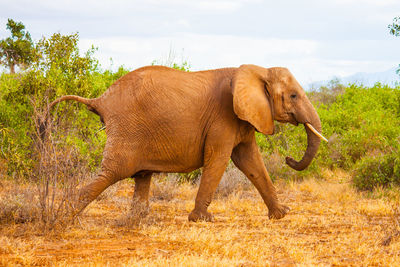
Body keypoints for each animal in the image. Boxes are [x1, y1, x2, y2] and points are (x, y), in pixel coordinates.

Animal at [45, 64, 326, 222]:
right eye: (293, 96)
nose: (289, 159)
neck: (257, 71)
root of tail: (100, 99)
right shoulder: (224, 117)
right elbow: (219, 160)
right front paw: (203, 219)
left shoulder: (243, 119)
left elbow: (251, 162)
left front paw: (282, 214)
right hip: (126, 132)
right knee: (111, 173)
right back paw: (61, 217)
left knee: (141, 175)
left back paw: (137, 221)